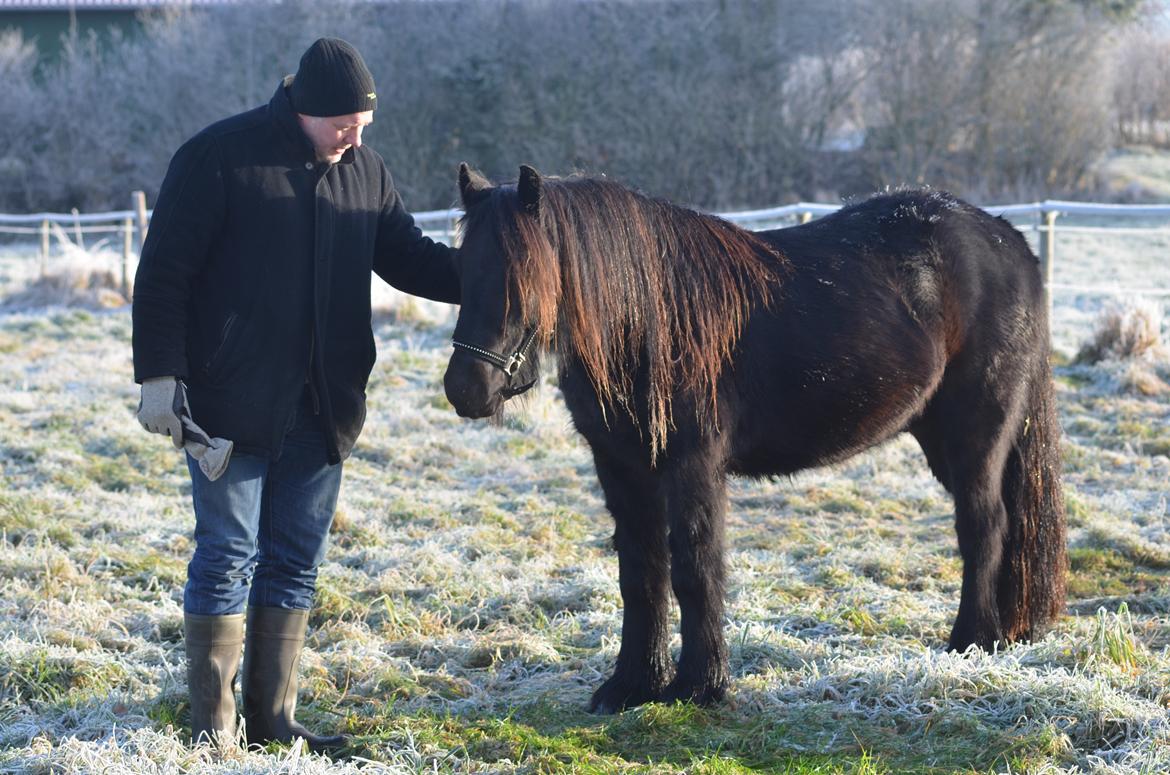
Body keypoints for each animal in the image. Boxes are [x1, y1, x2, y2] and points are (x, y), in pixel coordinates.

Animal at [442, 165, 1067, 716]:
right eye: (460, 267)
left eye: (524, 275)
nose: (466, 389)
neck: (646, 320)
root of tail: (1009, 239)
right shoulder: (620, 467)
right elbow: (640, 574)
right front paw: (631, 685)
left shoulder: (692, 466)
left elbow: (695, 568)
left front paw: (700, 686)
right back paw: (1001, 634)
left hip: (974, 437)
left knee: (984, 528)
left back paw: (971, 641)